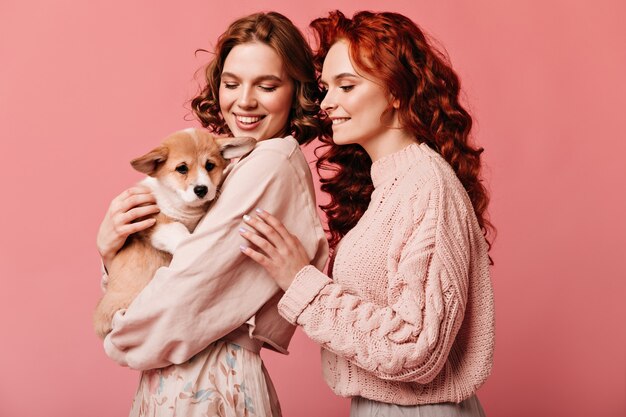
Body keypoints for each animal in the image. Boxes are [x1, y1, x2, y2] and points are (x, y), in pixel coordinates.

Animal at [92, 127, 254, 338]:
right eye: (182, 168)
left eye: (210, 165)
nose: (201, 189)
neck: (183, 206)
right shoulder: (158, 221)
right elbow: (180, 233)